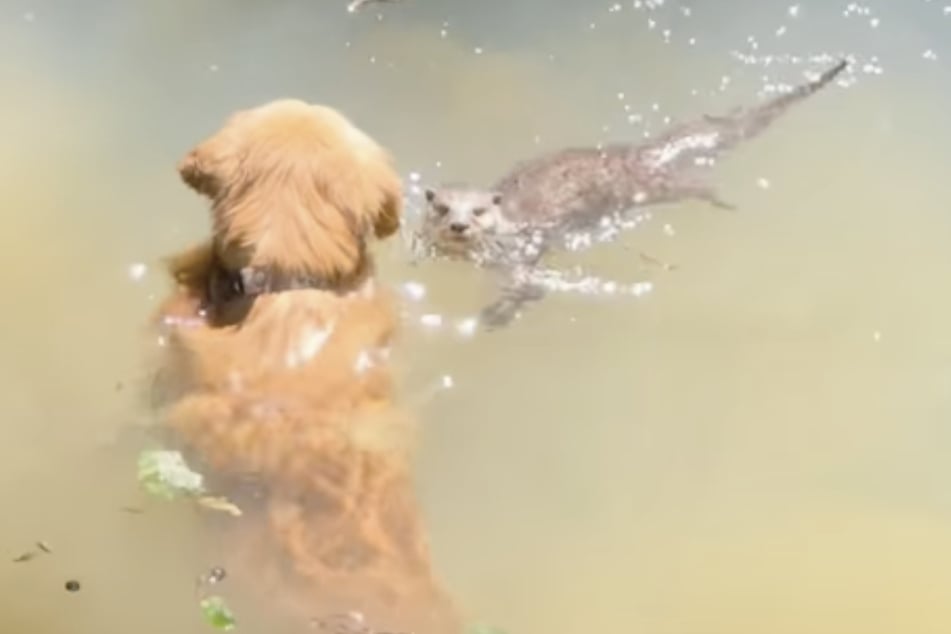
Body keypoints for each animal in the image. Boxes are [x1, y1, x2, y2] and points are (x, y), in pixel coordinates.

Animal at [416, 58, 848, 328]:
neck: (511, 226)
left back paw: (722, 200)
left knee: (695, 185)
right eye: (442, 208)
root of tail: (638, 154)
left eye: (478, 211)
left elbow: (529, 292)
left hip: (654, 186)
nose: (458, 226)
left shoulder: (522, 258)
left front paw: (493, 317)